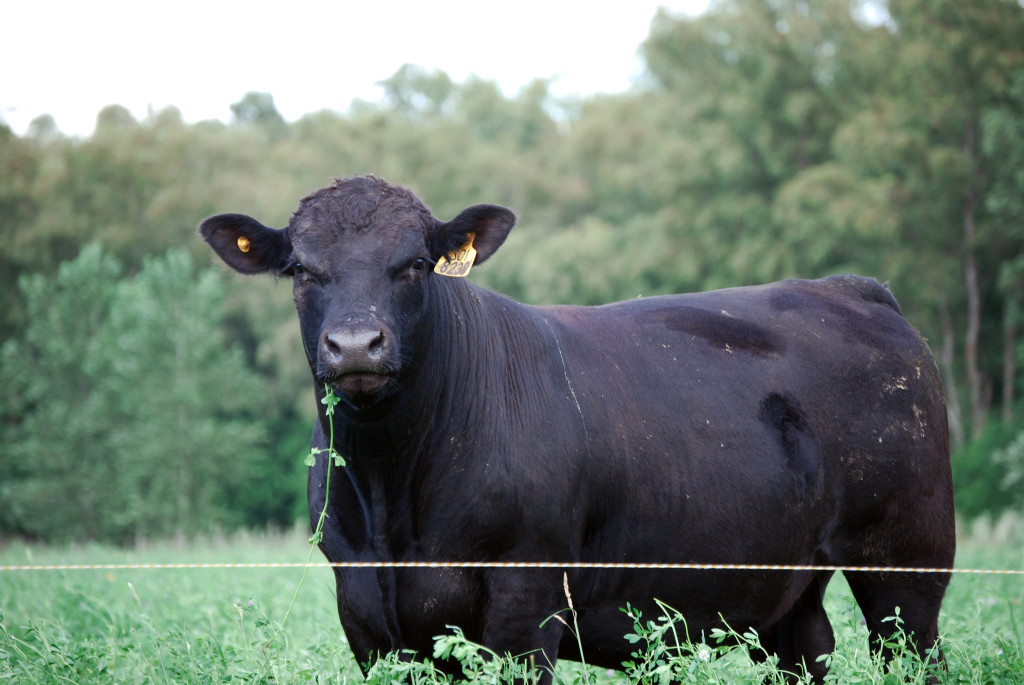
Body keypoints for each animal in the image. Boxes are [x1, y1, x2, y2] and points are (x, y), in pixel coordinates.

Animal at [199, 175, 950, 679]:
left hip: (907, 562)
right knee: (806, 647)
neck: (395, 494)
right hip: (790, 584)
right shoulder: (364, 612)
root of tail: (849, 289)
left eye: (413, 264)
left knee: (915, 651)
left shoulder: (524, 603)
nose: (356, 344)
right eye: (301, 268)